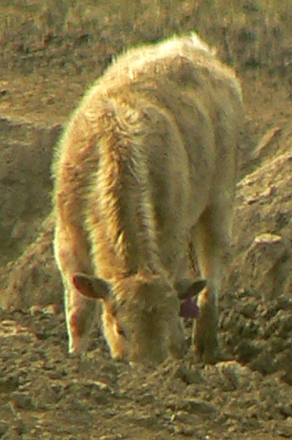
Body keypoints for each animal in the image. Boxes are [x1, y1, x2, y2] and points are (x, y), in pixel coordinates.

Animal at [53, 33, 244, 364]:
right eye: (121, 328)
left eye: (164, 325)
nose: (149, 367)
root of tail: (193, 46)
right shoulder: (68, 237)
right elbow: (79, 312)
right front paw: (76, 355)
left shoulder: (171, 233)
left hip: (219, 202)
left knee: (212, 271)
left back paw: (205, 344)